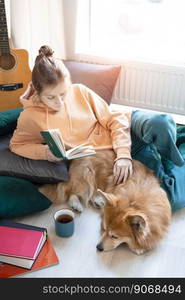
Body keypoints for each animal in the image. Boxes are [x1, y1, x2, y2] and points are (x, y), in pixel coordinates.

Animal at [39, 150, 172, 253]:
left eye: (114, 236)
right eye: (104, 229)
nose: (98, 247)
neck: (134, 202)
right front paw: (138, 248)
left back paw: (99, 201)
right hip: (86, 176)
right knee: (72, 191)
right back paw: (76, 204)